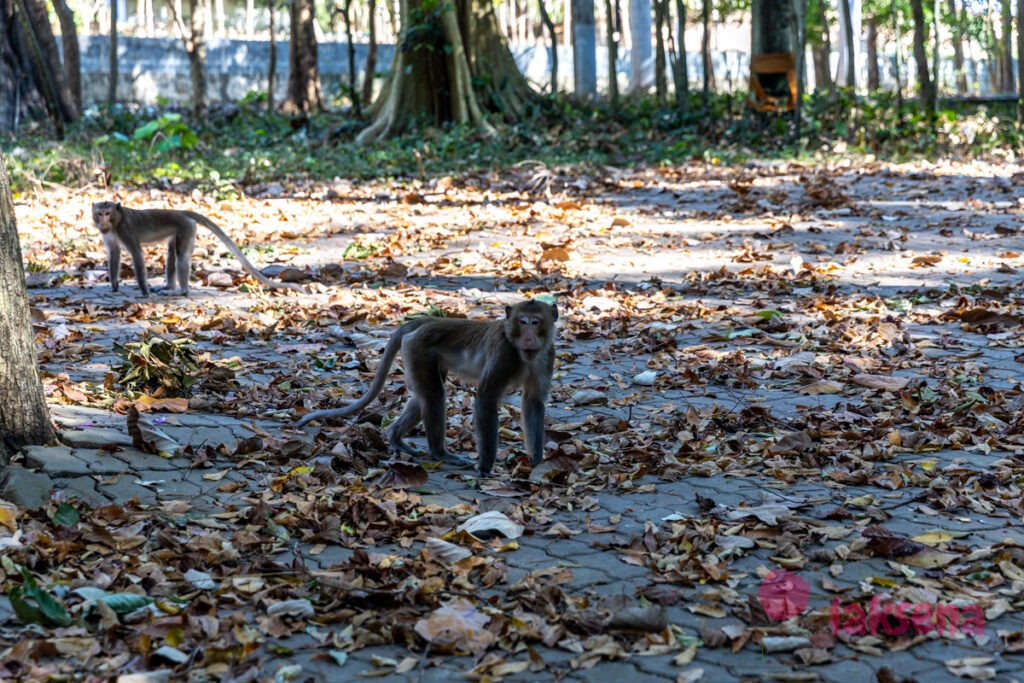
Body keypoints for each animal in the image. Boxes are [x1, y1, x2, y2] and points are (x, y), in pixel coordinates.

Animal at [92, 202, 303, 299]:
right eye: (99, 213)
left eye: (107, 213)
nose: (102, 222)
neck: (117, 221)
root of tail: (181, 212)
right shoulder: (110, 234)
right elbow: (114, 253)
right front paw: (114, 285)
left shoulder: (126, 230)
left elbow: (136, 254)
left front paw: (144, 292)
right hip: (181, 229)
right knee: (172, 251)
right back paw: (169, 287)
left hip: (186, 227)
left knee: (180, 255)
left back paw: (181, 291)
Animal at [294, 301, 561, 479]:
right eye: (523, 322)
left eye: (535, 322)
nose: (528, 338)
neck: (521, 352)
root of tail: (426, 320)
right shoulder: (504, 354)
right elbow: (486, 399)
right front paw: (485, 467)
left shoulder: (546, 355)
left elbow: (533, 402)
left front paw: (537, 462)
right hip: (418, 348)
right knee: (434, 396)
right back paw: (440, 453)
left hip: (417, 354)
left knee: (422, 396)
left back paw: (395, 436)